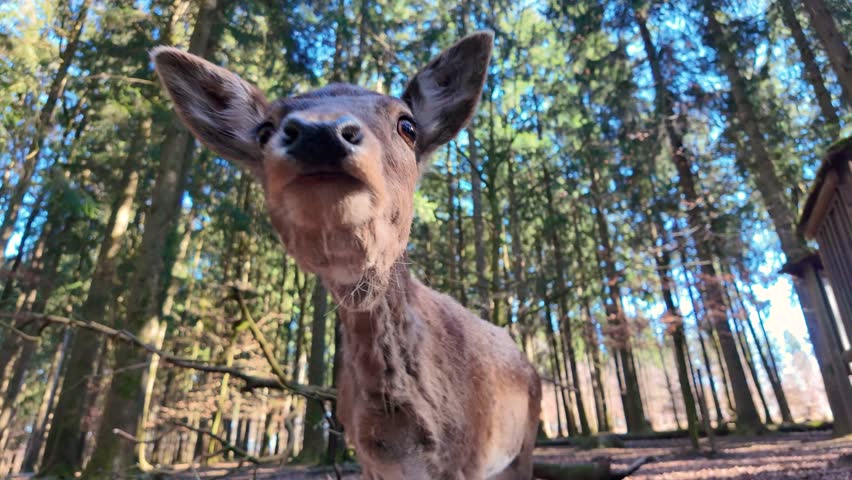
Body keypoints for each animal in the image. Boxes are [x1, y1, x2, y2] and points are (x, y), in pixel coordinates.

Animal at [152, 31, 542, 480]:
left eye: (407, 125)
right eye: (264, 130)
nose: (320, 133)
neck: (400, 433)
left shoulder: (470, 455)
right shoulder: (367, 459)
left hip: (524, 441)